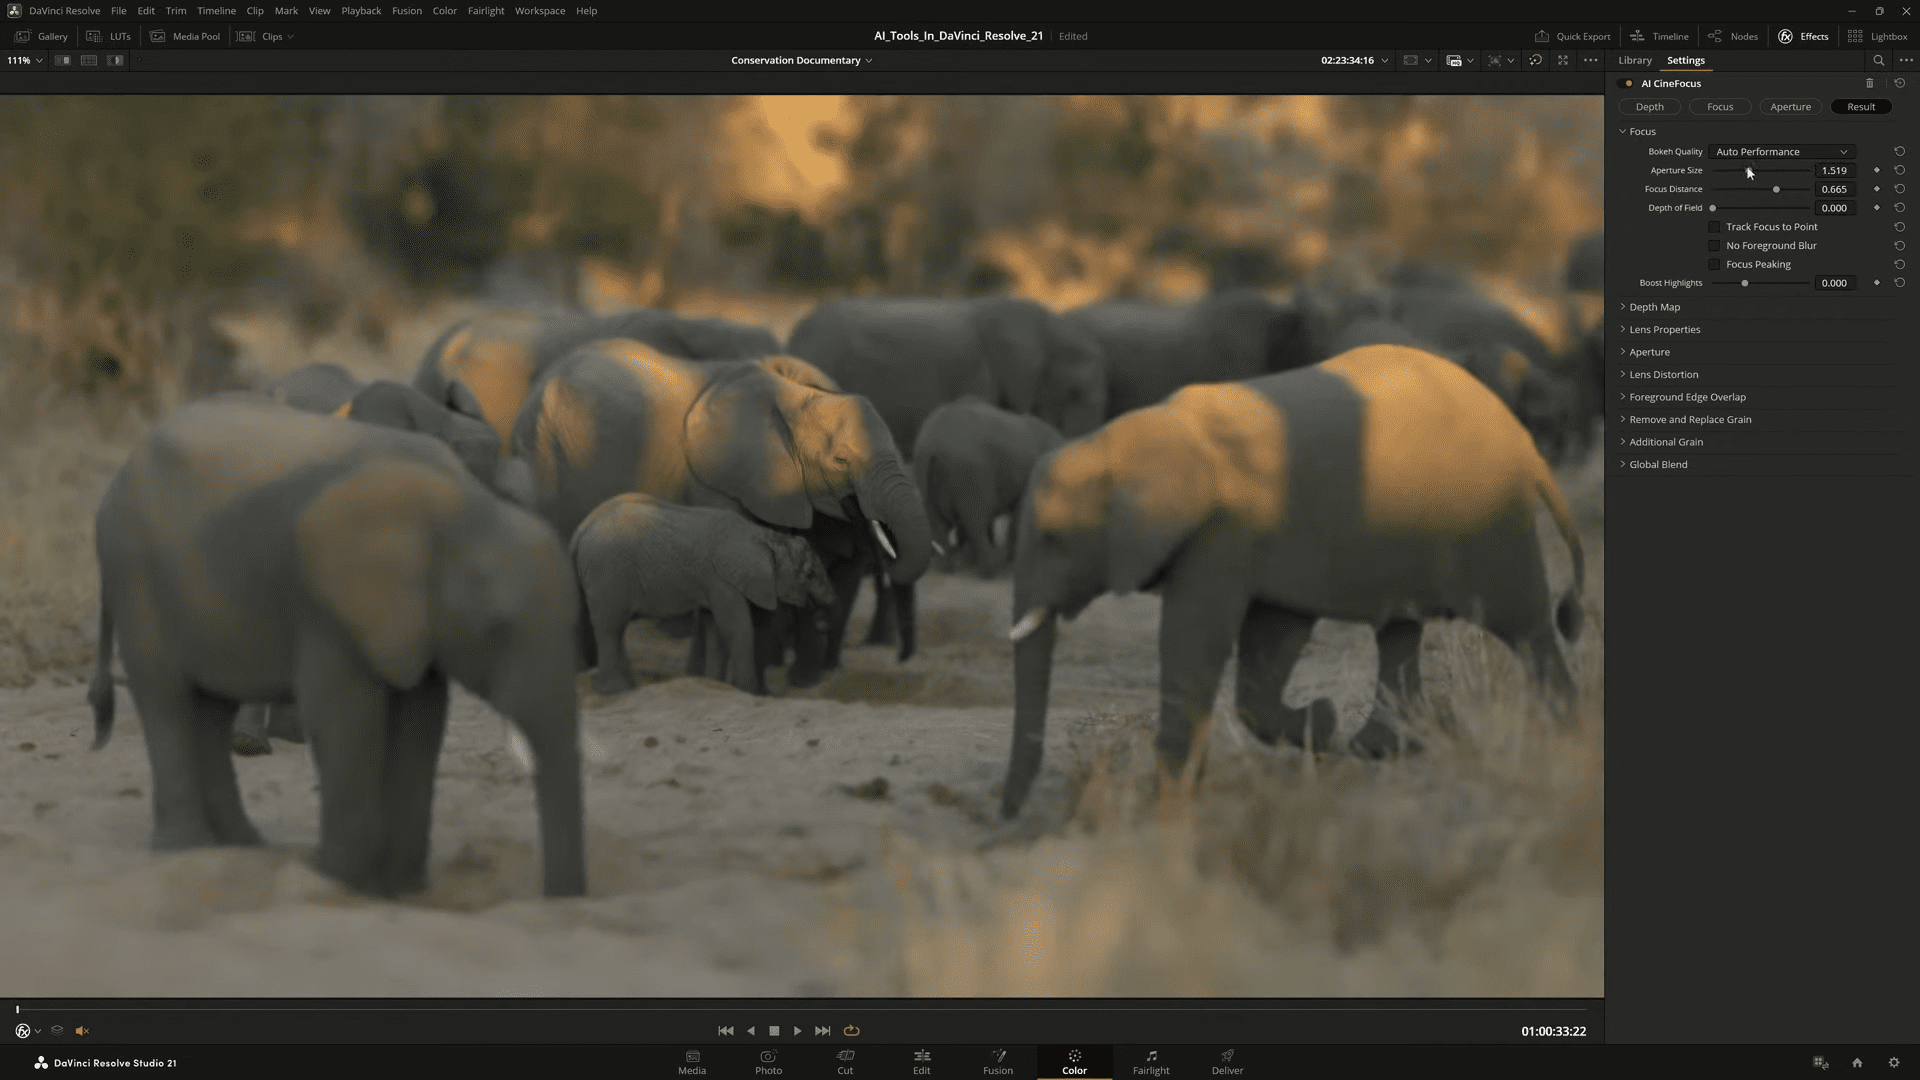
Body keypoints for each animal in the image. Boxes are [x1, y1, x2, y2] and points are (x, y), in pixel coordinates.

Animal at [87, 396, 587, 898]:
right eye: (497, 627)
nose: (554, 899)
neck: (462, 507)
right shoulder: (328, 609)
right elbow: (344, 717)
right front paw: (336, 882)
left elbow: (421, 721)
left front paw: (397, 892)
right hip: (135, 570)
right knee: (165, 700)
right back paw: (183, 850)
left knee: (212, 710)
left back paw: (243, 847)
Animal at [572, 492, 837, 697]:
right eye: (810, 574)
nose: (823, 614)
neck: (763, 535)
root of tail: (581, 529)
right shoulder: (720, 578)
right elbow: (735, 625)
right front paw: (748, 692)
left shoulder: (712, 580)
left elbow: (715, 628)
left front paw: (715, 685)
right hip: (607, 572)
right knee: (610, 628)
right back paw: (615, 692)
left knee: (613, 629)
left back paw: (629, 689)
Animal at [912, 396, 1064, 579]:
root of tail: (932, 446)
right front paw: (1011, 560)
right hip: (969, 475)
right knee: (974, 522)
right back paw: (989, 571)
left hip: (924, 473)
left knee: (938, 523)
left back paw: (949, 568)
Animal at [998, 344, 1587, 819]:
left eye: (1052, 537)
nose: (1005, 818)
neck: (1124, 439)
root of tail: (1523, 441)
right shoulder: (1261, 536)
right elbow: (1272, 638)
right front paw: (1321, 727)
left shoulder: (1224, 532)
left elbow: (1196, 641)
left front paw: (1169, 808)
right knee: (1400, 629)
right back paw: (1380, 750)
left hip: (1492, 524)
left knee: (1524, 624)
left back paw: (1561, 735)